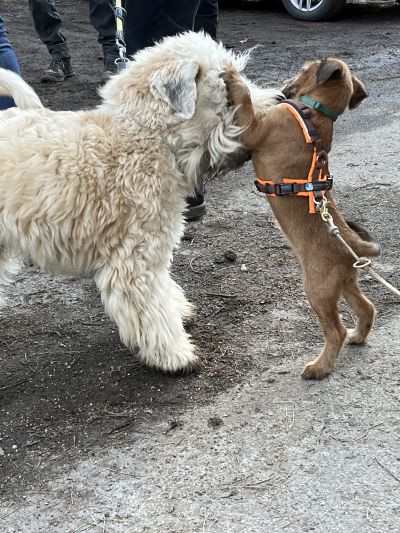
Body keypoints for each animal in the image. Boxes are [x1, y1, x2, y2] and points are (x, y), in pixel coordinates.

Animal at [0, 31, 278, 372]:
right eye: (228, 91)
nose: (278, 102)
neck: (142, 136)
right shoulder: (137, 256)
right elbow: (150, 308)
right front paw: (175, 354)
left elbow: (164, 291)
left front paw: (179, 310)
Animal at [223, 58, 380, 378]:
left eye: (304, 68)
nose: (283, 89)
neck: (315, 113)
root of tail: (352, 245)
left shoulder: (252, 128)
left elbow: (244, 99)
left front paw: (233, 75)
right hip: (344, 282)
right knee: (367, 308)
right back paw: (358, 337)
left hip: (316, 289)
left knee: (336, 331)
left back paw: (319, 367)